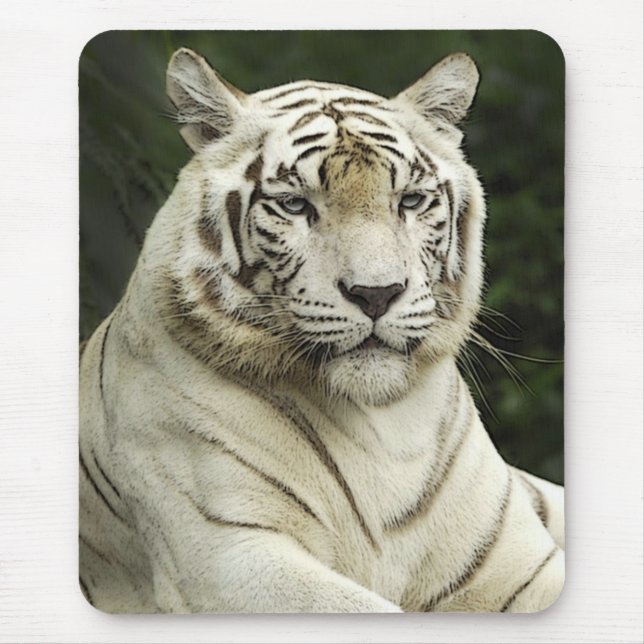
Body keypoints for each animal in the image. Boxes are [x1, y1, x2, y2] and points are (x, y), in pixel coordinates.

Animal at [79, 47, 565, 614]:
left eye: (411, 201)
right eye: (295, 205)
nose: (377, 293)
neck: (384, 427)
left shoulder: (518, 563)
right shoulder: (227, 557)